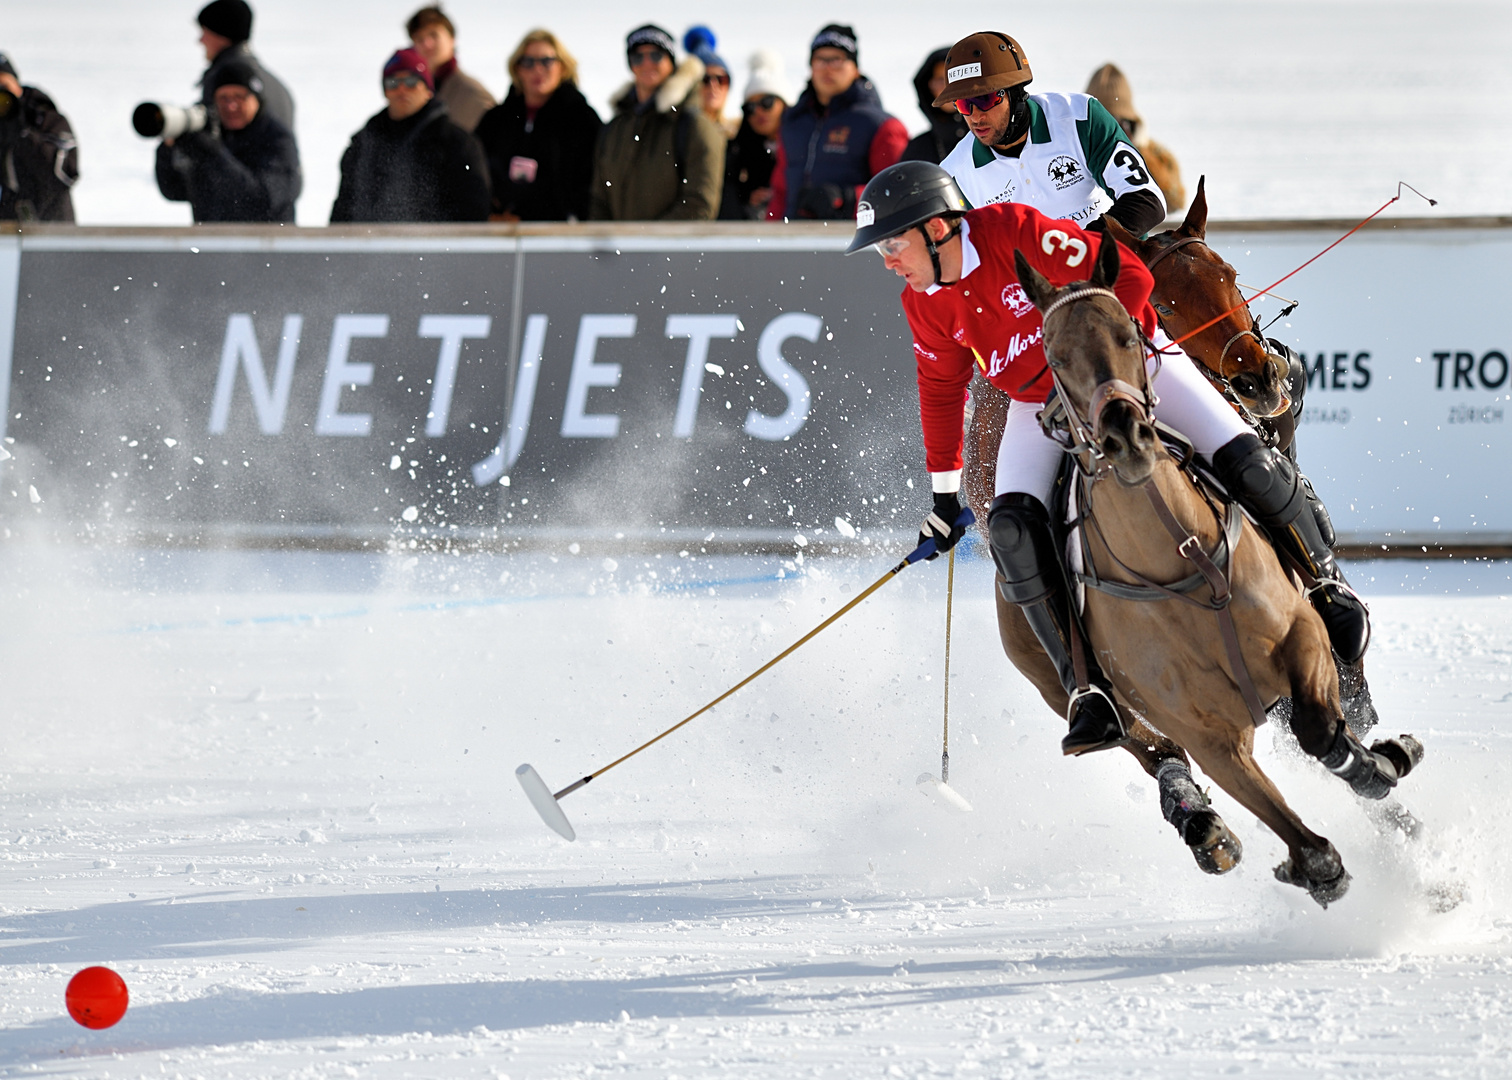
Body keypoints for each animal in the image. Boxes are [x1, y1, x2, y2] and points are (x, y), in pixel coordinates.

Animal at [1010, 232, 1421, 901]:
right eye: (1053, 355)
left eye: (1132, 331)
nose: (1126, 434)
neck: (1181, 558)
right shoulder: (1211, 736)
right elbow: (1311, 846)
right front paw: (1312, 862)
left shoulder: (1303, 642)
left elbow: (1331, 732)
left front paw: (1389, 762)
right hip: (1068, 687)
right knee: (1152, 752)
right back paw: (1203, 828)